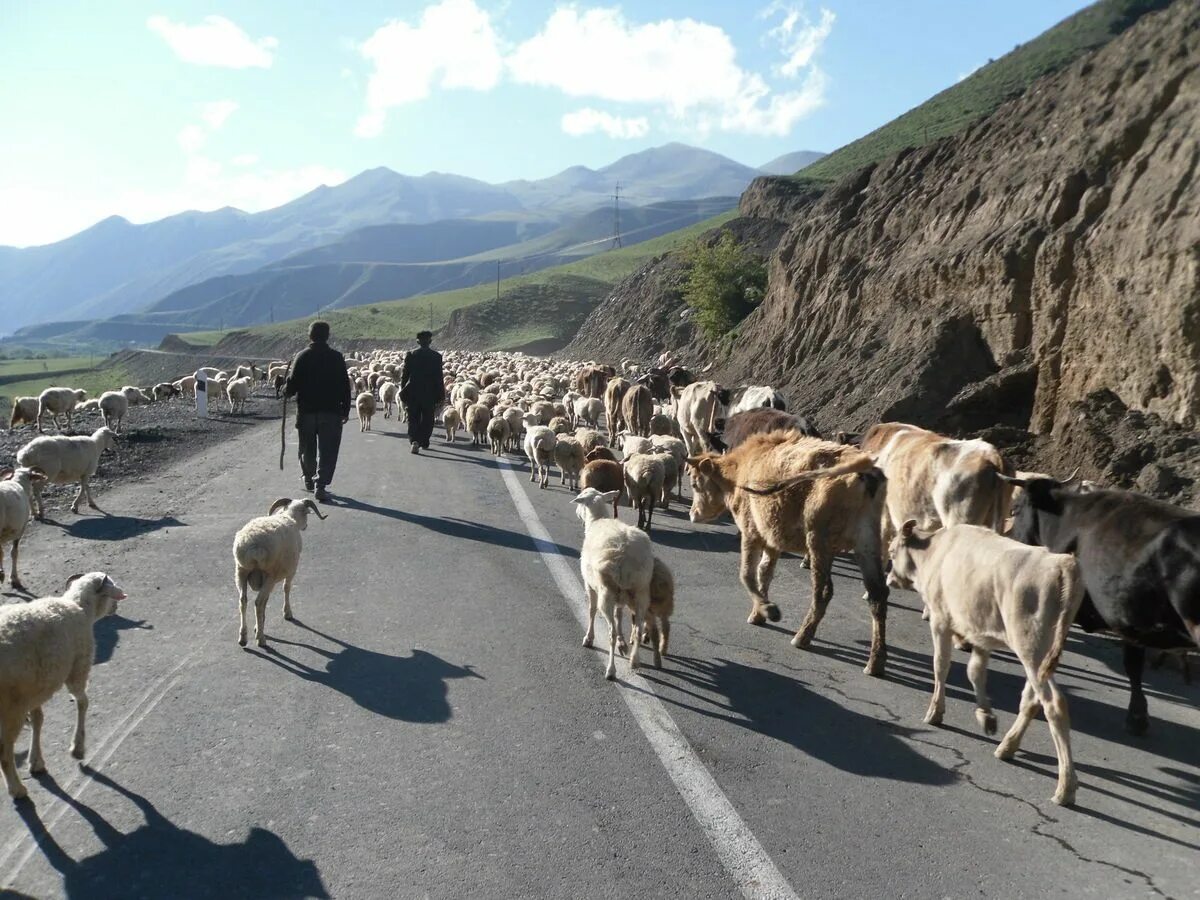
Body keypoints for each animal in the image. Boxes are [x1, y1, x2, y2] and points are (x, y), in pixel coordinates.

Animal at [0, 573, 126, 801]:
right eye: (111, 587)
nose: (116, 608)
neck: (80, 607)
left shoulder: (34, 690)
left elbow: (39, 719)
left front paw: (36, 761)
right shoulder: (78, 669)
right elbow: (83, 702)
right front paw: (78, 748)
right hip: (11, 707)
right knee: (4, 752)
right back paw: (17, 789)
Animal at [234, 501, 326, 648]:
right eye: (306, 512)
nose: (305, 526)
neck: (289, 516)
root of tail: (253, 546)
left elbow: (266, 601)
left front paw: (259, 626)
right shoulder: (291, 571)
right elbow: (286, 588)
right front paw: (287, 613)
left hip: (241, 571)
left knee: (243, 601)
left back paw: (243, 638)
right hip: (269, 574)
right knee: (258, 603)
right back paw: (261, 639)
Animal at [573, 489, 657, 681]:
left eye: (581, 500)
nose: (577, 514)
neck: (596, 520)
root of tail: (626, 553)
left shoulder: (589, 585)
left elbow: (591, 610)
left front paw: (589, 638)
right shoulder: (622, 597)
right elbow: (619, 615)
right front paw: (622, 642)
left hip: (607, 592)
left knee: (610, 631)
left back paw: (611, 670)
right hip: (641, 591)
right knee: (638, 627)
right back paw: (634, 660)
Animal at [686, 432, 892, 676]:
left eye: (695, 483)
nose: (692, 514)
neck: (740, 471)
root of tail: (864, 468)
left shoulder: (751, 532)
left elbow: (746, 575)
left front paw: (769, 610)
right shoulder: (771, 539)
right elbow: (764, 573)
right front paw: (758, 613)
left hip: (819, 541)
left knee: (823, 591)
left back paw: (802, 637)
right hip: (867, 544)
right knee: (878, 595)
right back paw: (875, 662)